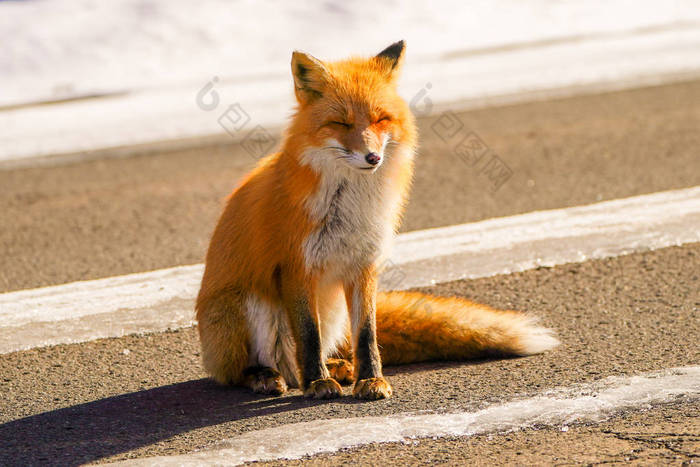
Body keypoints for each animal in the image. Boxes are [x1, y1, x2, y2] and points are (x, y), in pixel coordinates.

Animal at [196, 40, 556, 400]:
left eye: (381, 119)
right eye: (341, 124)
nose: (373, 157)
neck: (349, 207)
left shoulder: (364, 265)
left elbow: (367, 333)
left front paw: (371, 380)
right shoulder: (297, 267)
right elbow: (309, 337)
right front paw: (318, 383)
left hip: (333, 311)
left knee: (317, 356)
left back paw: (337, 368)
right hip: (251, 305)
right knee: (248, 371)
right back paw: (267, 375)